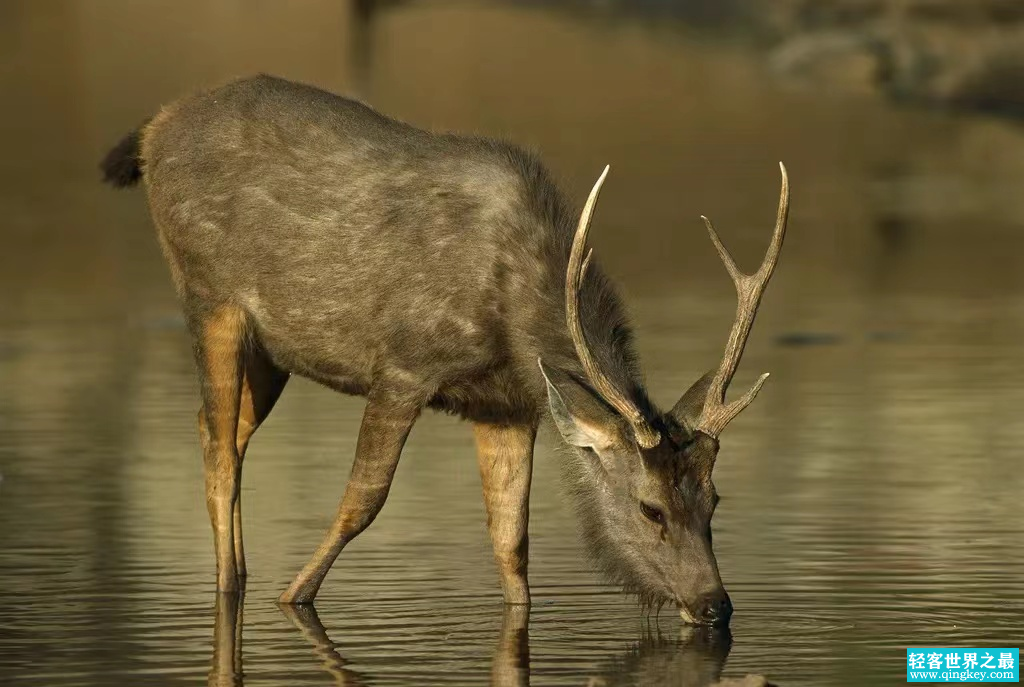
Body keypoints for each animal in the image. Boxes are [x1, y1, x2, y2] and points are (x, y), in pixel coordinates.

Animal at [101, 72, 790, 626]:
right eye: (650, 509)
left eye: (715, 500)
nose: (715, 605)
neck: (512, 316)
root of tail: (153, 129)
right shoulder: (405, 364)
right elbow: (363, 499)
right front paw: (293, 597)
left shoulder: (507, 405)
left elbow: (511, 541)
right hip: (208, 294)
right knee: (220, 449)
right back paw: (230, 586)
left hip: (272, 350)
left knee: (218, 429)